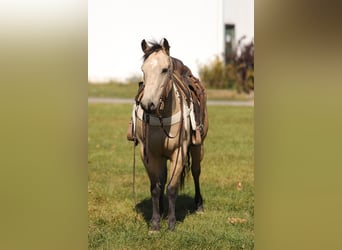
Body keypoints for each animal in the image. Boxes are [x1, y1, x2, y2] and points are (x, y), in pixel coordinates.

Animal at [128, 38, 208, 231]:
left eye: (165, 70)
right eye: (143, 70)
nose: (148, 104)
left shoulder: (179, 152)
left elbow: (172, 187)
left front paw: (171, 223)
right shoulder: (148, 153)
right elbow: (156, 187)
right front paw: (155, 223)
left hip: (198, 147)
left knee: (196, 172)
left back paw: (199, 206)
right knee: (162, 178)